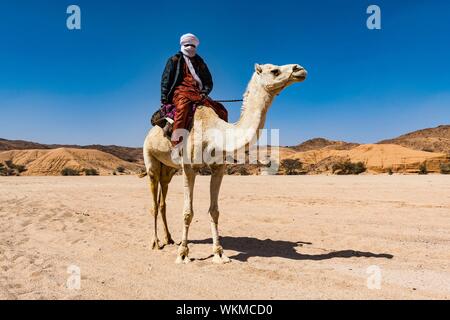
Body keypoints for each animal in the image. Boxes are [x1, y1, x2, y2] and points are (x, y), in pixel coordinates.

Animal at [142, 62, 308, 262]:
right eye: (274, 70)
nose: (300, 69)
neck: (214, 132)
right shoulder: (189, 168)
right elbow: (187, 212)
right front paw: (183, 254)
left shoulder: (218, 168)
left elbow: (214, 211)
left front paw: (219, 253)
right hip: (150, 158)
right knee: (153, 202)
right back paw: (155, 242)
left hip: (168, 169)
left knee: (162, 200)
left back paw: (169, 239)